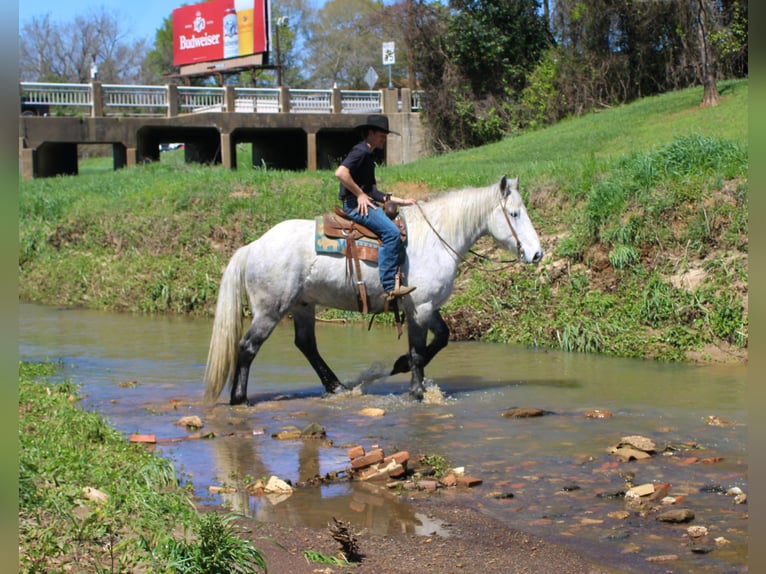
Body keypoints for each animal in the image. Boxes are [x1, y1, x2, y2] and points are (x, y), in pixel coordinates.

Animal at [203, 175, 543, 405]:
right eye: (514, 214)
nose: (537, 254)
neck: (436, 238)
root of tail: (253, 246)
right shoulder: (420, 306)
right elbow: (419, 350)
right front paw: (417, 391)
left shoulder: (425, 306)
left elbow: (441, 338)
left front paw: (401, 365)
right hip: (271, 309)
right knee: (248, 346)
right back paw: (239, 398)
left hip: (302, 305)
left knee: (306, 344)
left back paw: (337, 387)